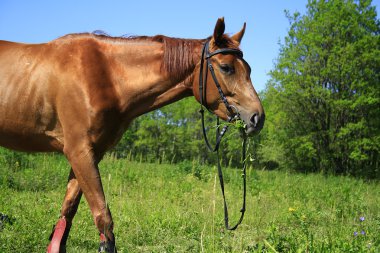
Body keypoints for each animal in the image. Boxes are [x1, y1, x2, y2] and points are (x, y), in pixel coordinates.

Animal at [0, 18, 264, 253]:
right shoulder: (78, 152)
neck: (104, 75)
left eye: (249, 69)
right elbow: (104, 219)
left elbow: (67, 215)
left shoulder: (90, 154)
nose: (257, 118)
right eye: (226, 67)